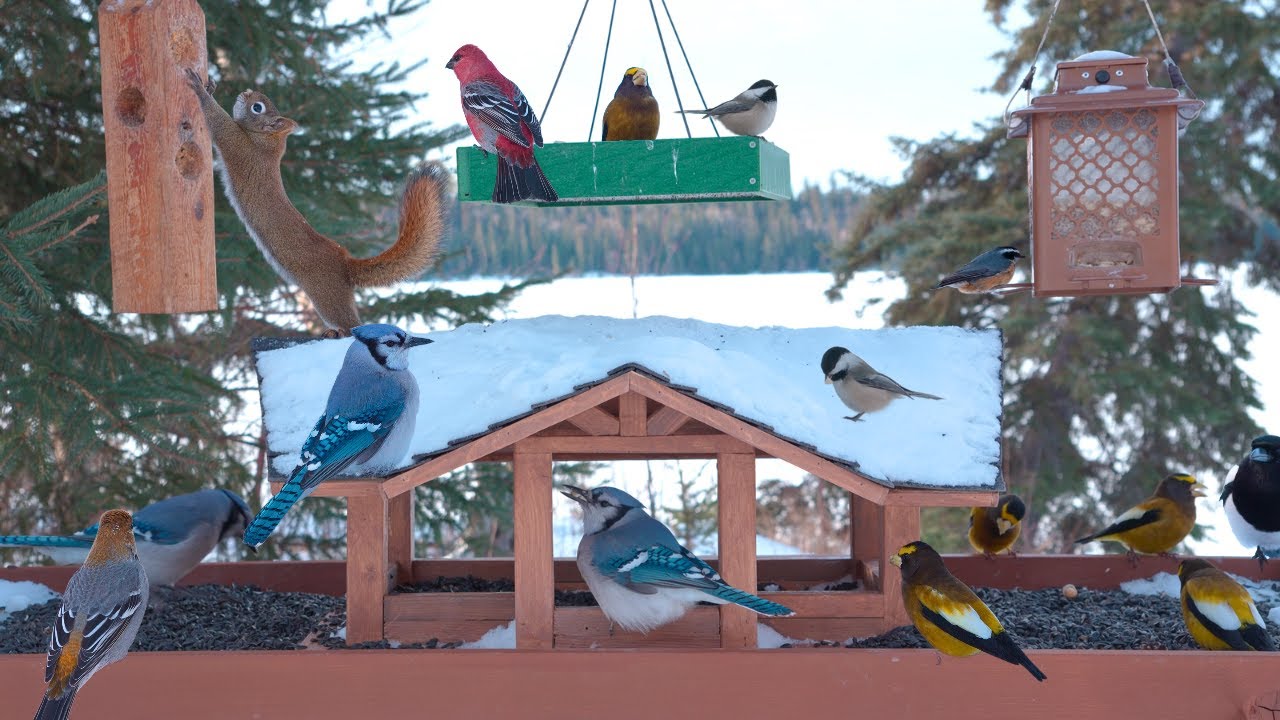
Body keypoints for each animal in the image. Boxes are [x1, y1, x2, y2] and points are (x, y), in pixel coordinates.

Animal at [184, 68, 448, 333]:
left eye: (257, 107)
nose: (247, 91)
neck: (267, 140)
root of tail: (344, 264)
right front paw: (210, 86)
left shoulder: (238, 145)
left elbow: (217, 122)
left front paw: (200, 90)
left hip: (326, 294)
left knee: (350, 322)